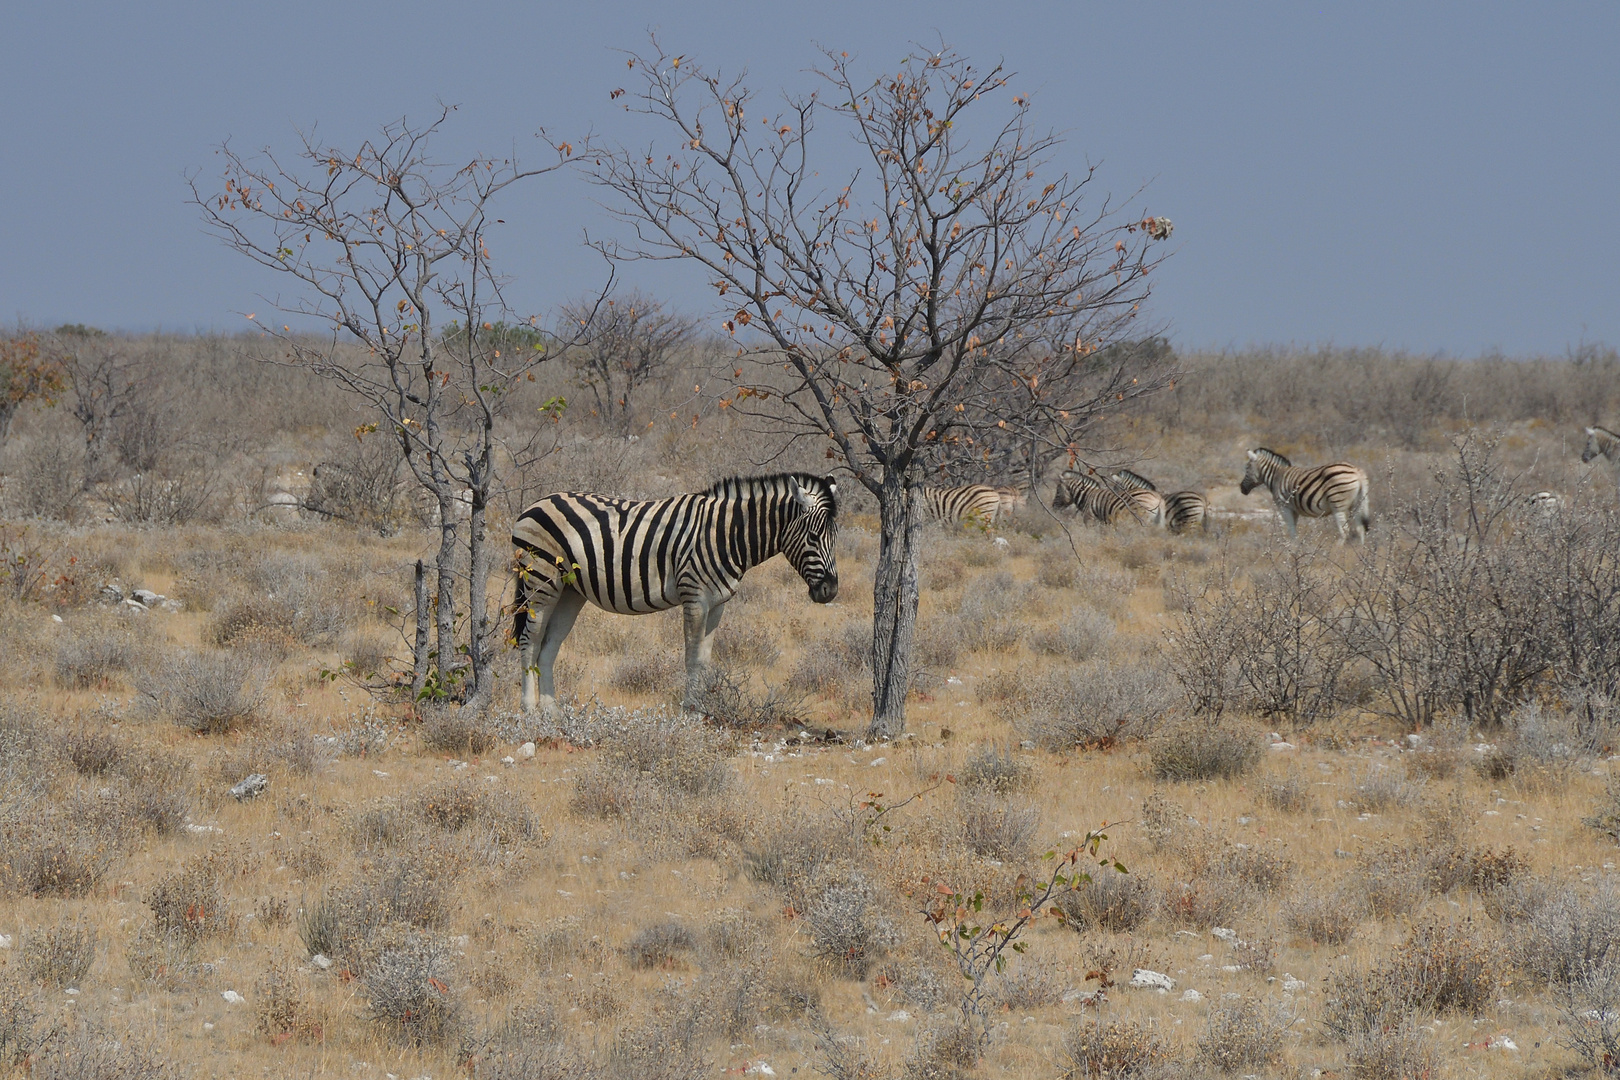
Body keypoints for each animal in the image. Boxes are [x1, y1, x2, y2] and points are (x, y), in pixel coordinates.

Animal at [508, 476, 842, 718]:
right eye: (814, 537)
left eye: (836, 537)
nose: (831, 590)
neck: (727, 534)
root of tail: (536, 503)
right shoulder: (694, 596)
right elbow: (691, 659)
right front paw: (689, 712)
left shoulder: (717, 603)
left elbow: (704, 660)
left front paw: (702, 711)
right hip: (541, 581)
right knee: (529, 640)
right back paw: (529, 710)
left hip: (570, 592)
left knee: (548, 646)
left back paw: (552, 712)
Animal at [1237, 446, 1367, 540]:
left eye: (1246, 468)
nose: (1242, 489)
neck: (1276, 477)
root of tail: (1357, 472)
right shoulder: (1294, 511)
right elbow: (1294, 532)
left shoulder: (1284, 507)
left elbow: (1291, 532)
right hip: (1357, 504)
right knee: (1360, 529)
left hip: (1338, 504)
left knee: (1344, 531)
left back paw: (1337, 553)